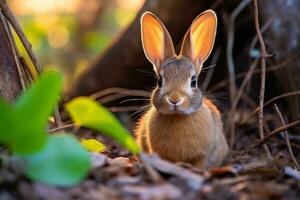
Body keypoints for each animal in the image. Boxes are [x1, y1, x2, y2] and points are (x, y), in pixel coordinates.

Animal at [135, 10, 229, 168]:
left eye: (193, 81)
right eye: (159, 81)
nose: (174, 99)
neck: (177, 116)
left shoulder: (204, 154)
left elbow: (200, 164)